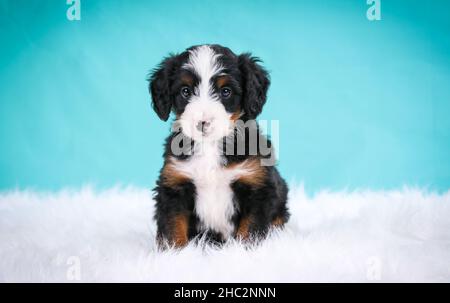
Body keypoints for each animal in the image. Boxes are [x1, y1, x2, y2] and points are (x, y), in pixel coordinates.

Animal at [148, 45, 288, 249]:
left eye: (226, 91)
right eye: (185, 91)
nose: (203, 122)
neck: (210, 146)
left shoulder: (258, 186)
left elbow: (250, 230)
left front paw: (243, 251)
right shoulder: (174, 185)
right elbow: (173, 227)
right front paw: (175, 253)